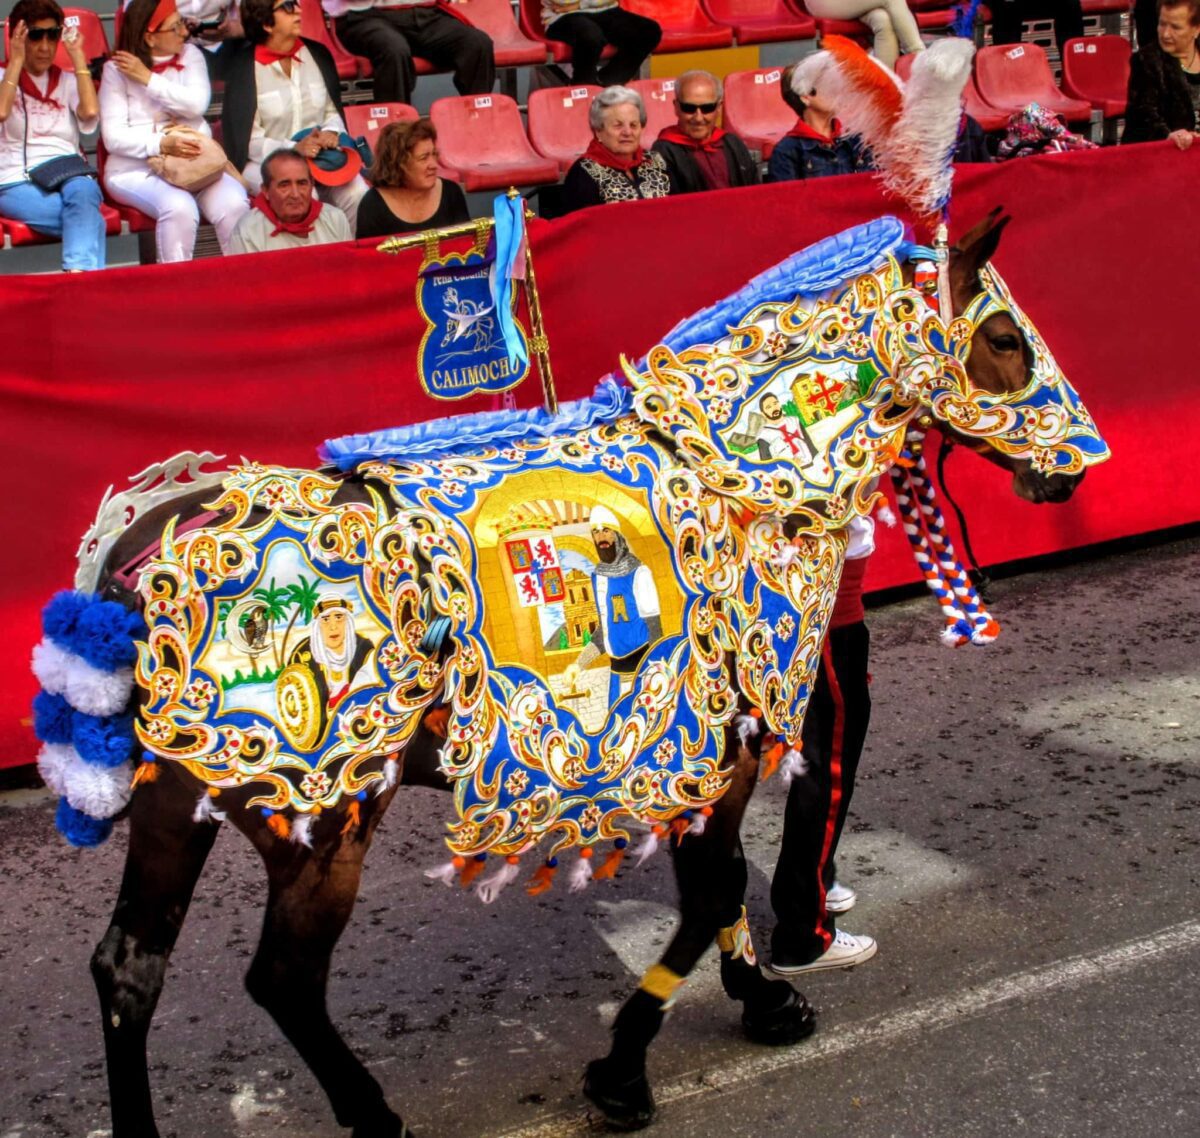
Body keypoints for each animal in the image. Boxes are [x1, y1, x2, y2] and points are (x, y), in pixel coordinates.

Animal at [28, 39, 1108, 1138]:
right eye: (1007, 340)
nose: (1074, 470)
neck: (729, 478)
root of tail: (145, 550)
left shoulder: (695, 748)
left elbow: (714, 890)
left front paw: (761, 998)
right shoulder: (728, 745)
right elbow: (710, 891)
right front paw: (629, 1062)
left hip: (179, 809)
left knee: (128, 969)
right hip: (318, 820)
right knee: (282, 977)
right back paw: (374, 1113)